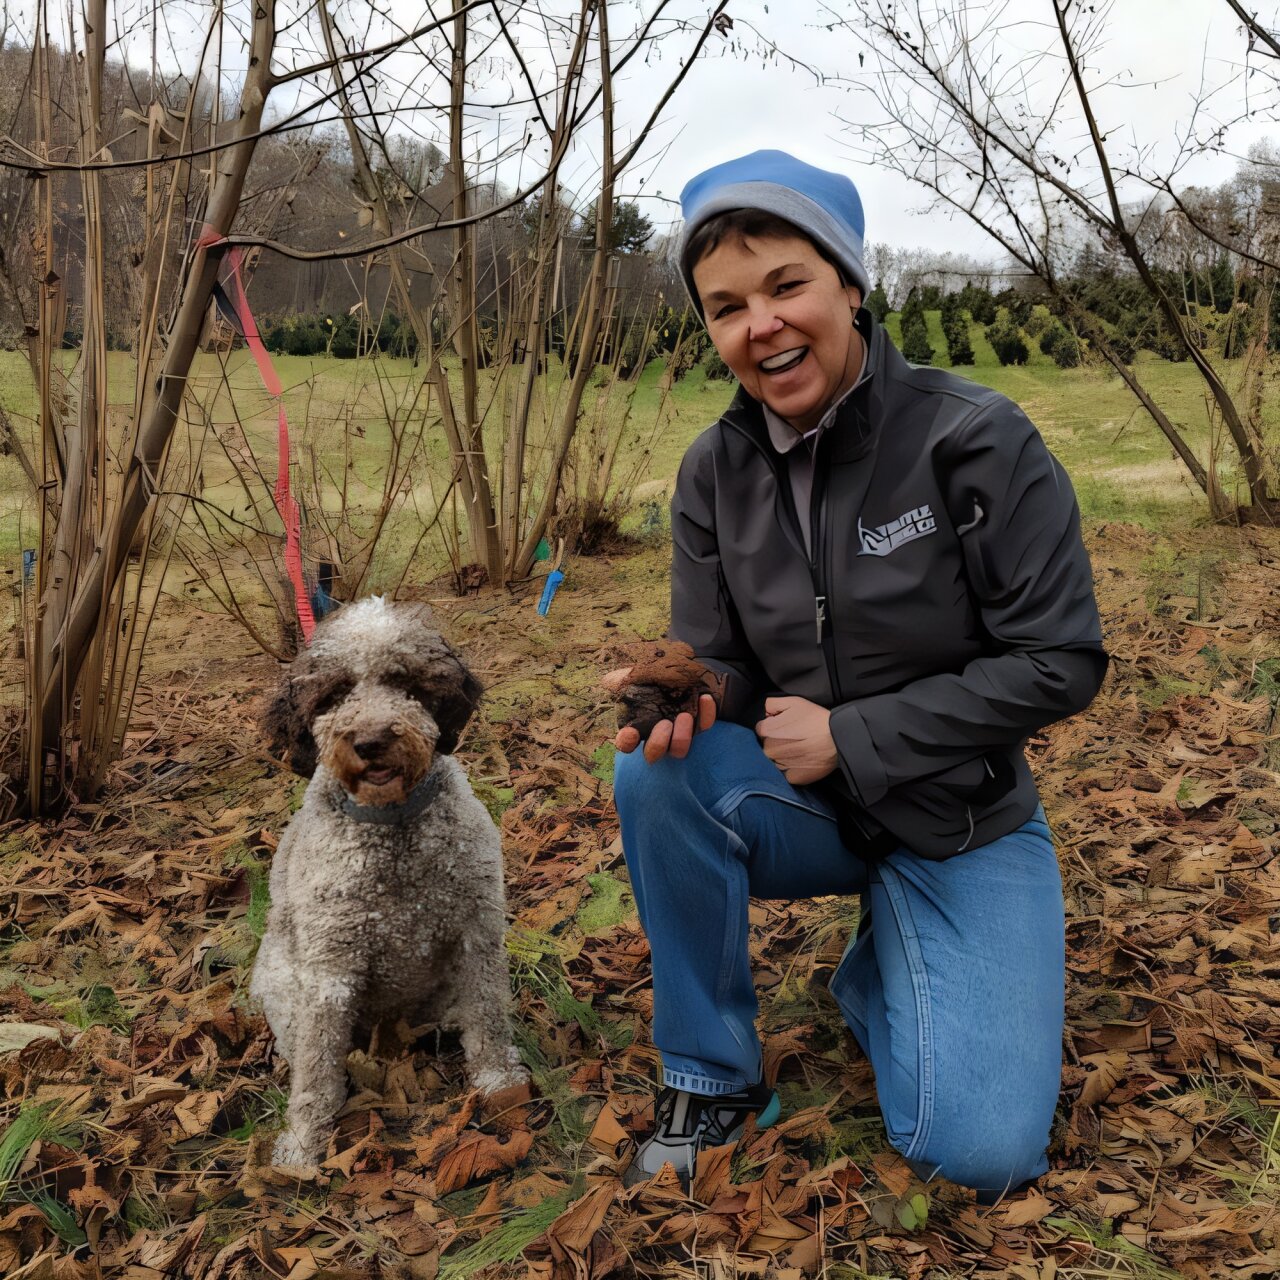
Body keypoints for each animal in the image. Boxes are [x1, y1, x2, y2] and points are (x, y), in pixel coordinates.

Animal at [247, 593, 527, 1167]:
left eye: (405, 682)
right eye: (335, 693)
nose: (372, 740)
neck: (393, 832)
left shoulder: (476, 935)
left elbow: (488, 1016)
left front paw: (499, 1082)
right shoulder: (329, 973)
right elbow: (316, 1072)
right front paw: (302, 1146)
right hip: (284, 986)